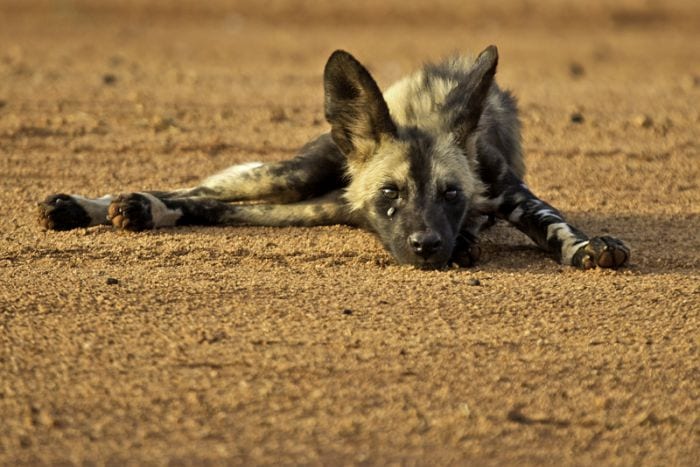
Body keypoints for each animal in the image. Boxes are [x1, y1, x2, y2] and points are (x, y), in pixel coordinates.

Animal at [38, 45, 628, 270]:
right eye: (391, 192)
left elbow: (553, 224)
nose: (427, 245)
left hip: (316, 205)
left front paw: (588, 247)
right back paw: (96, 206)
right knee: (198, 191)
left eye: (451, 194)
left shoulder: (506, 188)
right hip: (296, 177)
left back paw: (135, 211)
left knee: (211, 206)